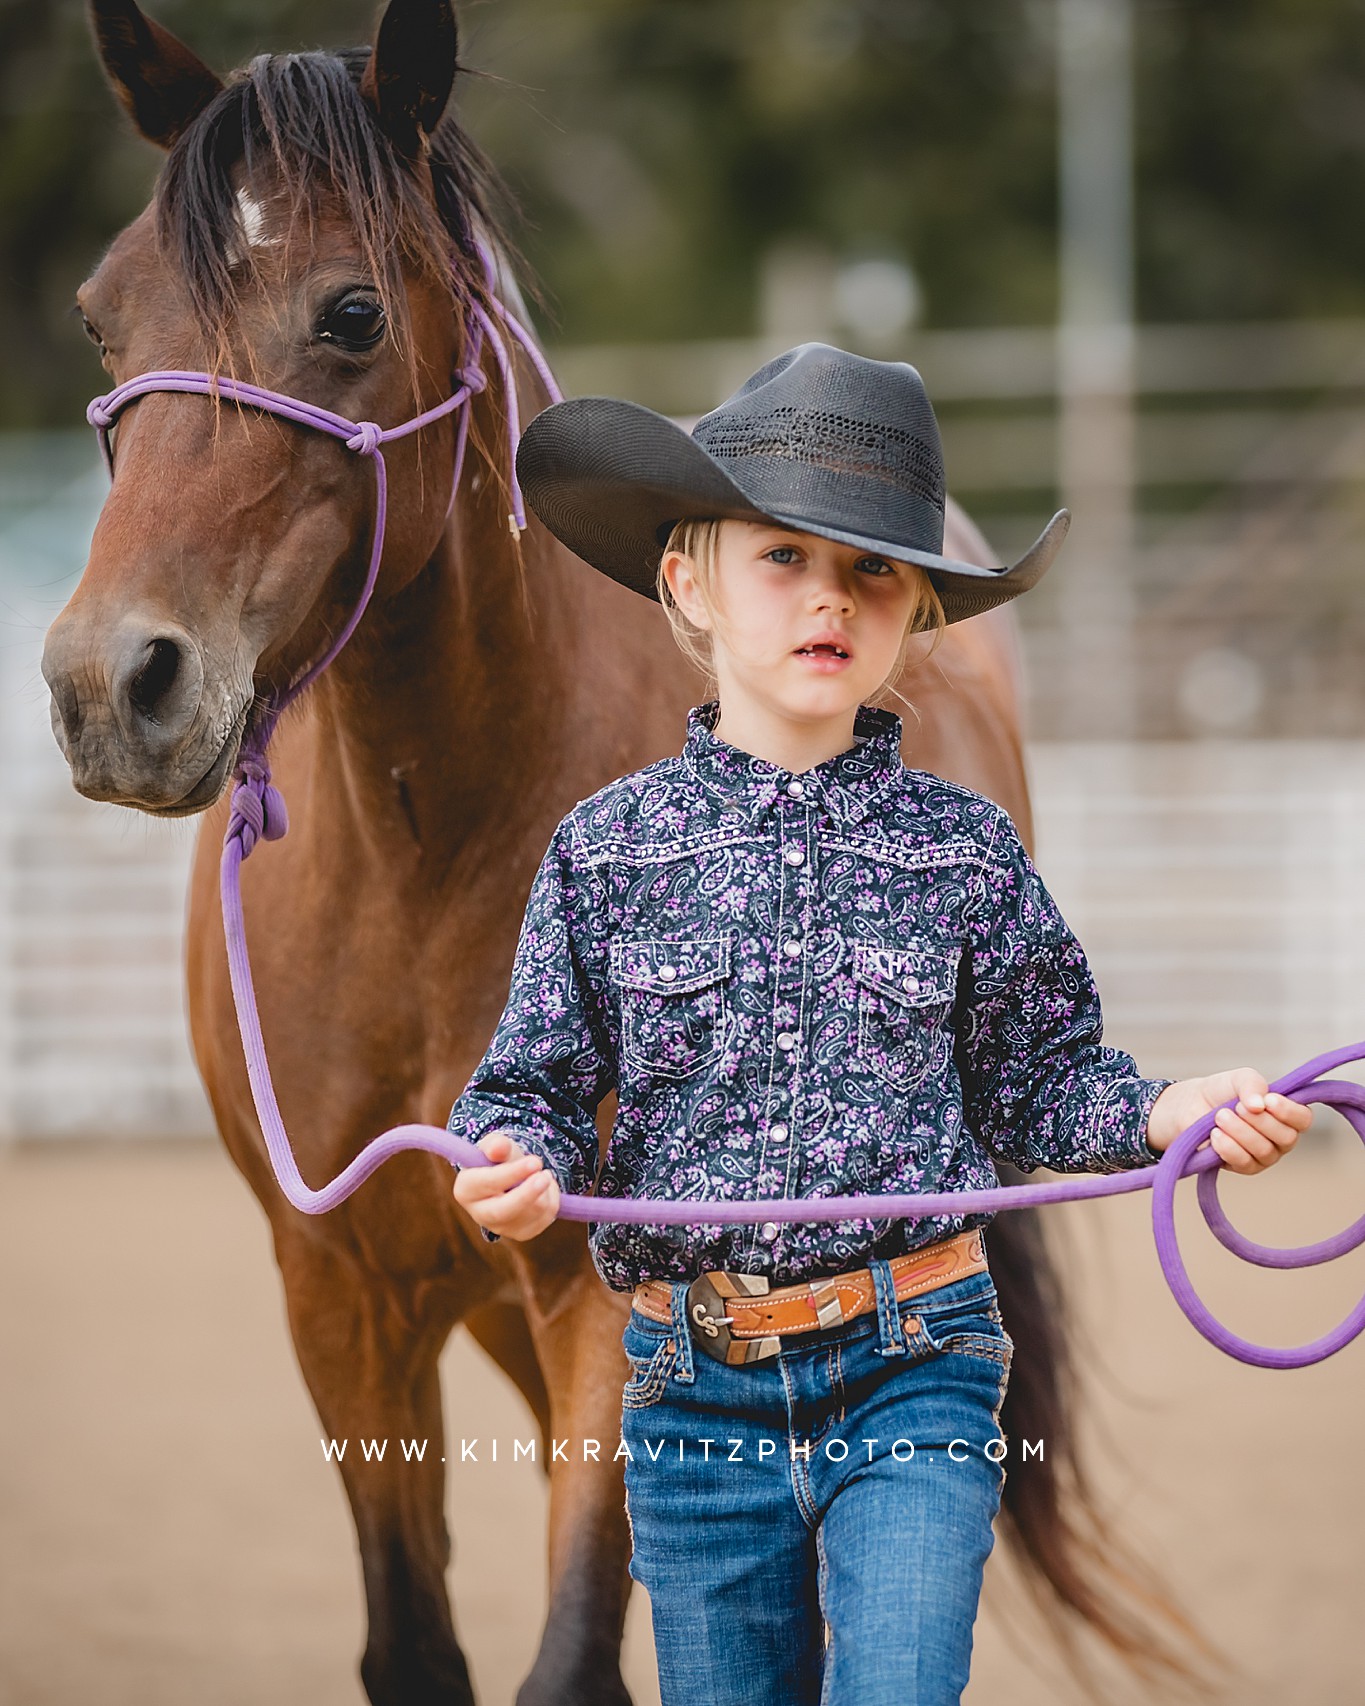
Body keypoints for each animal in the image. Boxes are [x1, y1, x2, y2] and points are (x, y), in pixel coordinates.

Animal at [42, 3, 1208, 1706]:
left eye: (349, 311)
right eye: (99, 322)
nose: (108, 684)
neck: (427, 861)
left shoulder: (610, 1299)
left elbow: (578, 1649)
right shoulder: (339, 1293)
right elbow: (417, 1645)